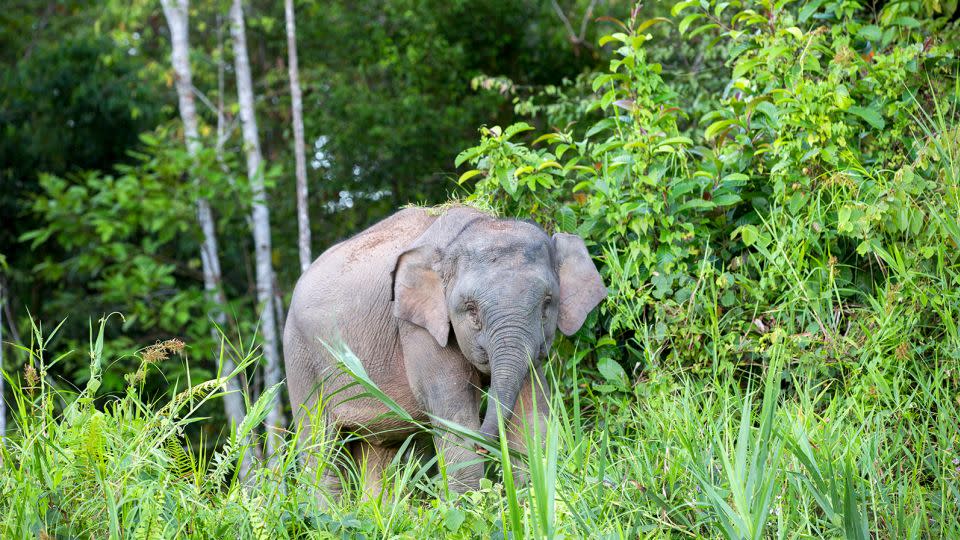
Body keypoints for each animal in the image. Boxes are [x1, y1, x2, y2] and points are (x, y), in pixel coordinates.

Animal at [282, 205, 604, 496]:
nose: (485, 445)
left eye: (547, 303)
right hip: (301, 361)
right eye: (471, 309)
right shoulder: (417, 329)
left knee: (379, 458)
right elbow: (455, 417)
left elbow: (533, 413)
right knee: (321, 451)